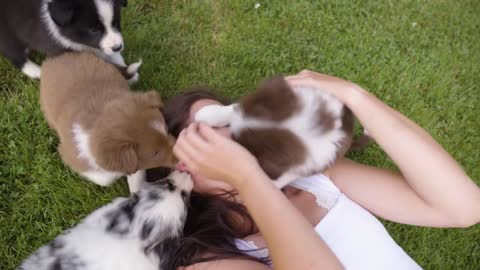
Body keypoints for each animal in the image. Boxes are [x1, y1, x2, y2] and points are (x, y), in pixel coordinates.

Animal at [0, 0, 140, 81]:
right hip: (7, 34)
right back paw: (36, 71)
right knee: (15, 55)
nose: (118, 47)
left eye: (115, 23)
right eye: (94, 30)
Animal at [40, 52, 176, 192]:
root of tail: (52, 60)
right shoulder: (71, 156)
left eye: (167, 130)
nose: (179, 159)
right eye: (155, 154)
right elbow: (105, 178)